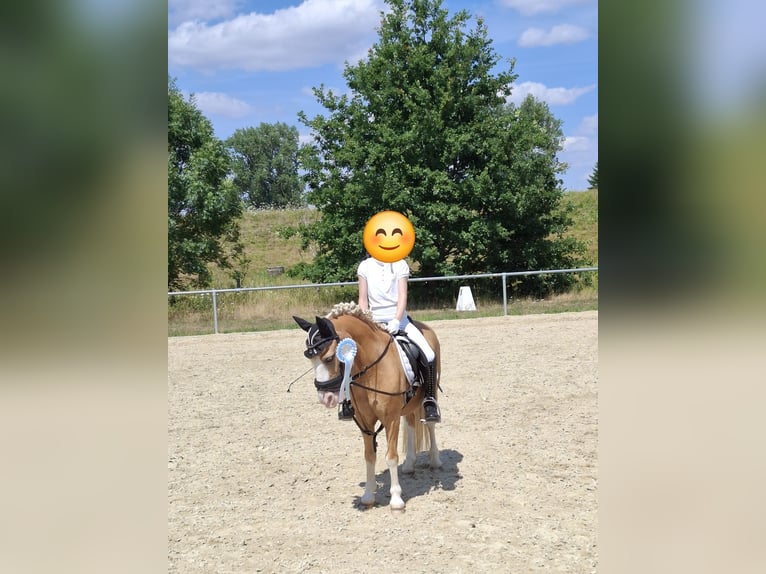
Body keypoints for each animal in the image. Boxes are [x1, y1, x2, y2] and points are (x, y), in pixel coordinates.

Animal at [293, 302, 442, 511]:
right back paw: (409, 465)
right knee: (411, 423)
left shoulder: (391, 419)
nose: (325, 398)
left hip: (429, 392)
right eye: (310, 360)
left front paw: (396, 499)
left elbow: (391, 456)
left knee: (430, 424)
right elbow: (369, 456)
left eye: (329, 358)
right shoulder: (365, 421)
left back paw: (435, 460)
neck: (373, 369)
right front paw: (368, 496)